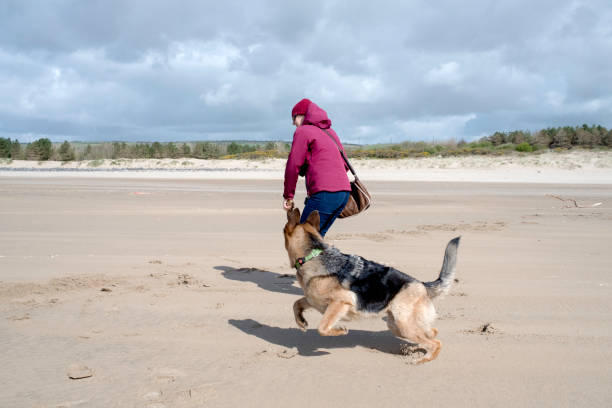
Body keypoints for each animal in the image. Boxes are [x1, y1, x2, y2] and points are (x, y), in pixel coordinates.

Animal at [282, 207, 460, 364]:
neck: (312, 255)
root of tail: (422, 285)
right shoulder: (313, 300)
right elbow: (296, 304)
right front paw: (301, 322)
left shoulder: (341, 302)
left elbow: (322, 327)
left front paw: (339, 330)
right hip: (396, 325)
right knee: (432, 333)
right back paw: (417, 348)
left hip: (404, 325)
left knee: (436, 343)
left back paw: (421, 360)